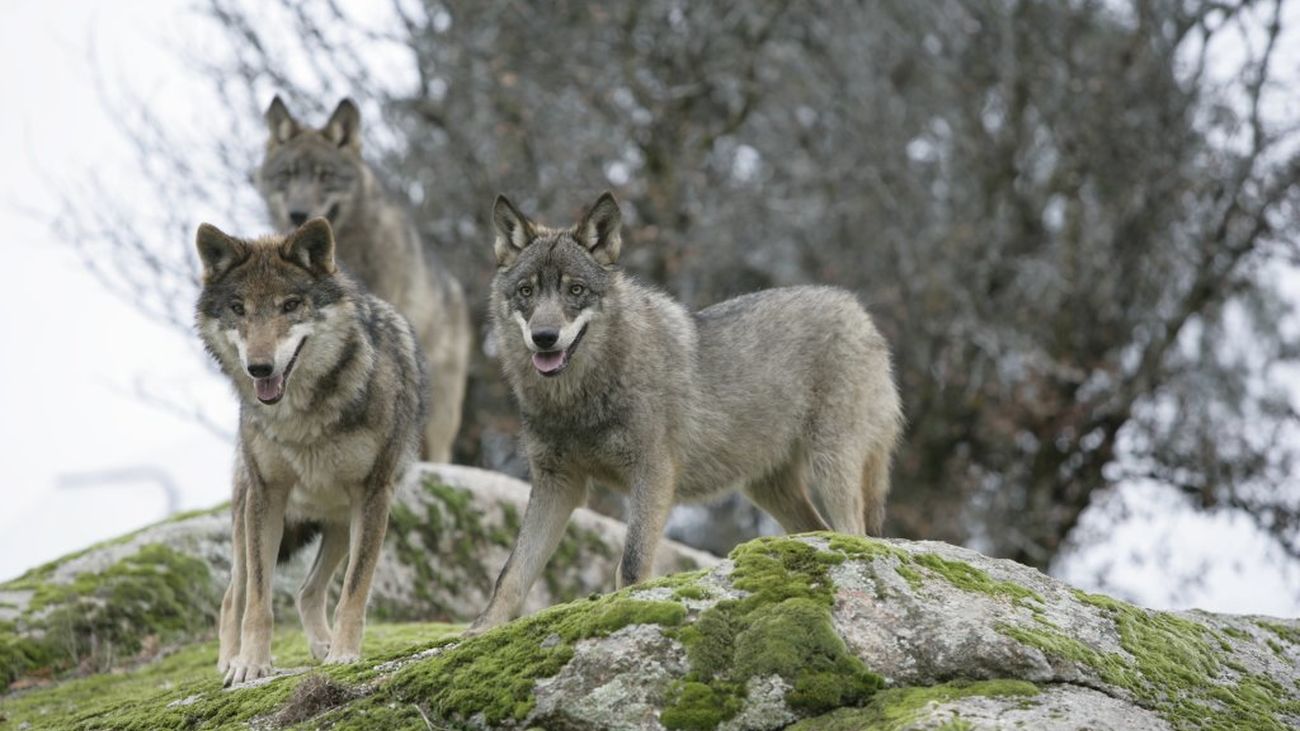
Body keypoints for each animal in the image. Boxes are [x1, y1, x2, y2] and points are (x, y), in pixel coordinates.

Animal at [195, 218, 427, 684]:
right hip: (247, 515)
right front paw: (251, 664)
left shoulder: (374, 495)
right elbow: (259, 600)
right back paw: (229, 660)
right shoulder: (267, 496)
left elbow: (354, 591)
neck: (301, 418)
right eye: (238, 308)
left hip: (340, 521)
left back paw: (323, 646)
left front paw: (343, 654)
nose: (260, 368)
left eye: (290, 305)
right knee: (234, 594)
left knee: (306, 590)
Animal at [471, 192, 904, 630]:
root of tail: (857, 310)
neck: (577, 400)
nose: (544, 338)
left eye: (575, 289)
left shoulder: (652, 473)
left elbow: (631, 564)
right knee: (821, 531)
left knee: (855, 534)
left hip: (831, 466)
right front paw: (480, 630)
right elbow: (511, 574)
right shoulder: (557, 483)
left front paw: (625, 611)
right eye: (526, 291)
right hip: (769, 488)